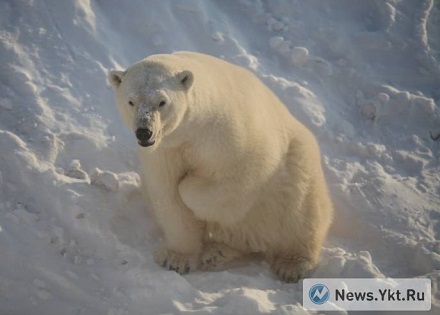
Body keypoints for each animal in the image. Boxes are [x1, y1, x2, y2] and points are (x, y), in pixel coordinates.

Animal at [108, 51, 332, 284]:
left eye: (162, 101)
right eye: (131, 101)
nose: (144, 131)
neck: (192, 130)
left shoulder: (228, 138)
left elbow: (231, 181)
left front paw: (190, 184)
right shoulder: (164, 151)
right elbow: (167, 196)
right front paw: (176, 259)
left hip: (296, 164)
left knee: (301, 212)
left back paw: (291, 264)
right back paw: (216, 253)